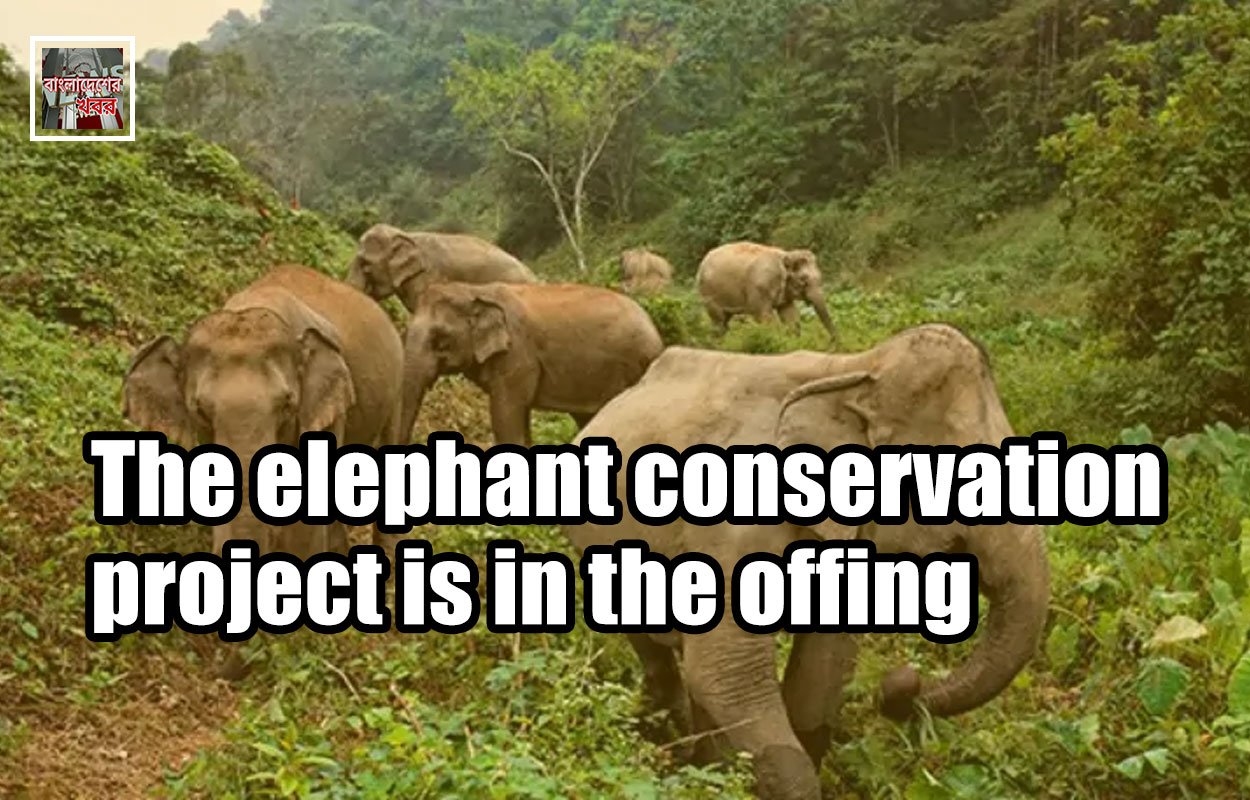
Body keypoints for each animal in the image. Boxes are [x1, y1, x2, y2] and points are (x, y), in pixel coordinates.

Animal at [696, 242, 836, 340]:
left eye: (821, 277)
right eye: (804, 280)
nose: (833, 341)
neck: (785, 255)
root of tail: (703, 262)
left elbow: (790, 315)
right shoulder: (759, 288)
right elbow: (763, 316)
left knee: (724, 321)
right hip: (709, 292)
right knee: (719, 321)